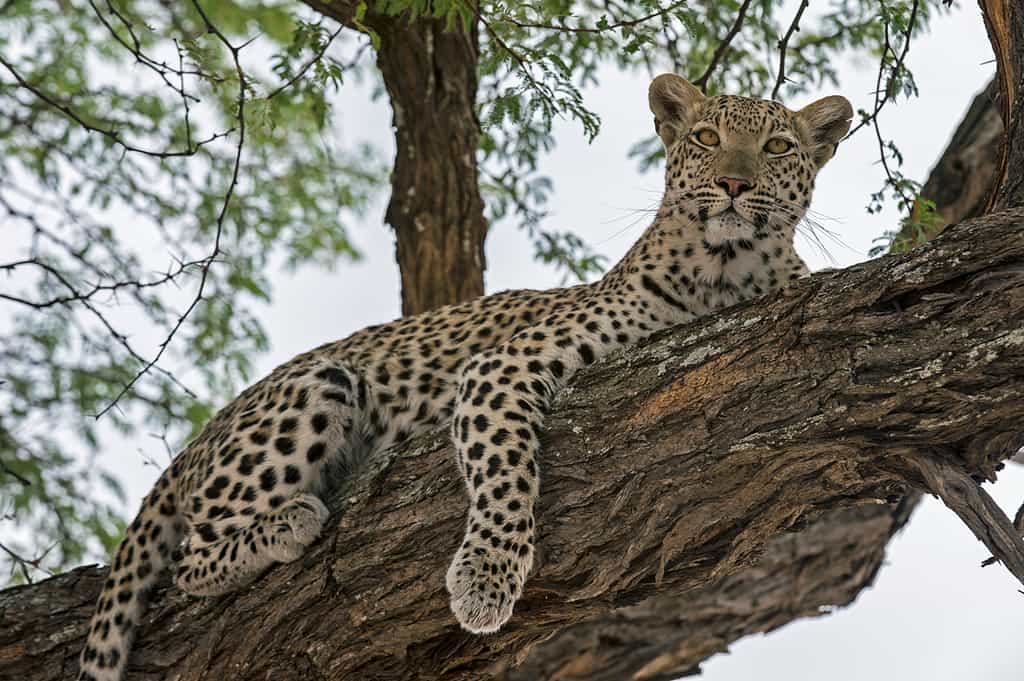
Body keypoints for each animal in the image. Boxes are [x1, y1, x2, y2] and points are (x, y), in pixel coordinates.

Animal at [76, 73, 852, 681]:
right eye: (705, 137)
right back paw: (289, 522)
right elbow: (506, 473)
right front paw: (485, 578)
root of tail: (208, 429)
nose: (734, 183)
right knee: (190, 561)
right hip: (317, 385)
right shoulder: (503, 365)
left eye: (777, 148)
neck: (731, 271)